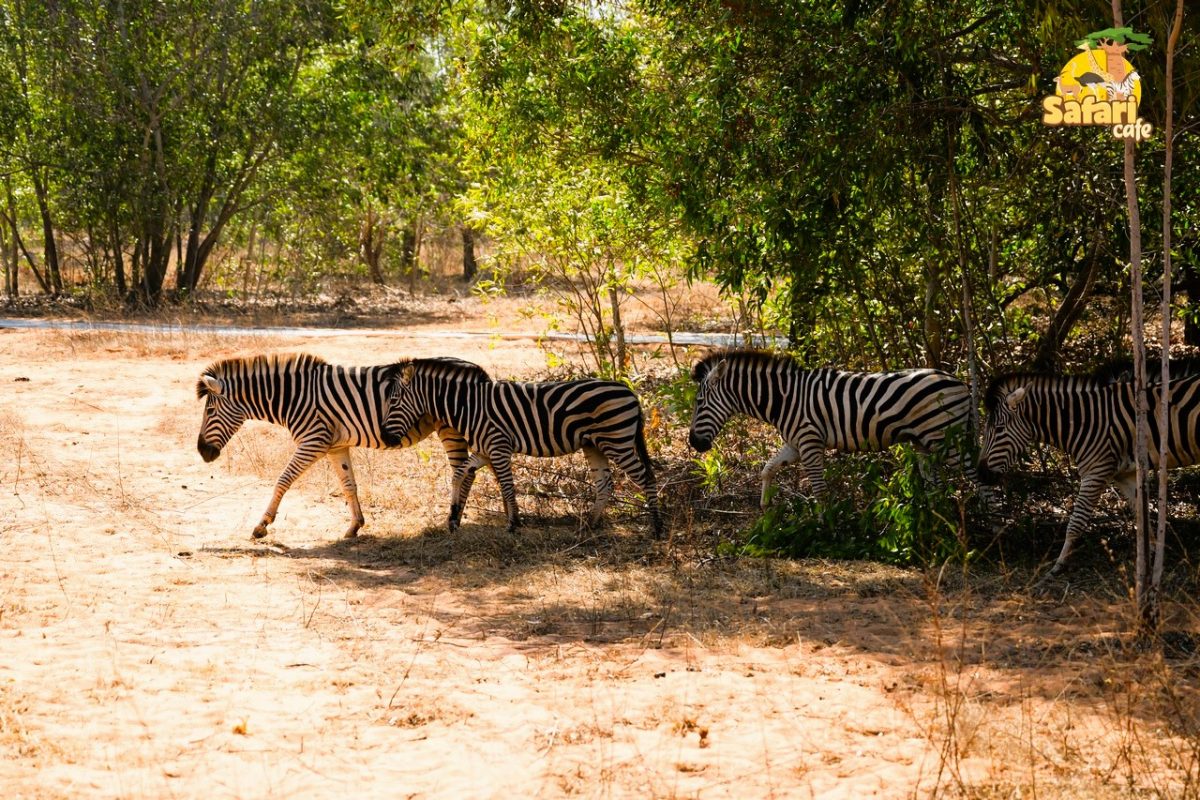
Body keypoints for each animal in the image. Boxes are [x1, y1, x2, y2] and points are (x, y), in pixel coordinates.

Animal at [193, 355, 468, 544]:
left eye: (210, 411)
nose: (202, 452)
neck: (293, 398)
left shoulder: (314, 442)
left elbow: (283, 480)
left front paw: (262, 525)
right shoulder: (336, 447)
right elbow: (348, 485)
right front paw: (355, 526)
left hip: (451, 430)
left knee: (462, 472)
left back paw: (454, 522)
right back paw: (456, 519)